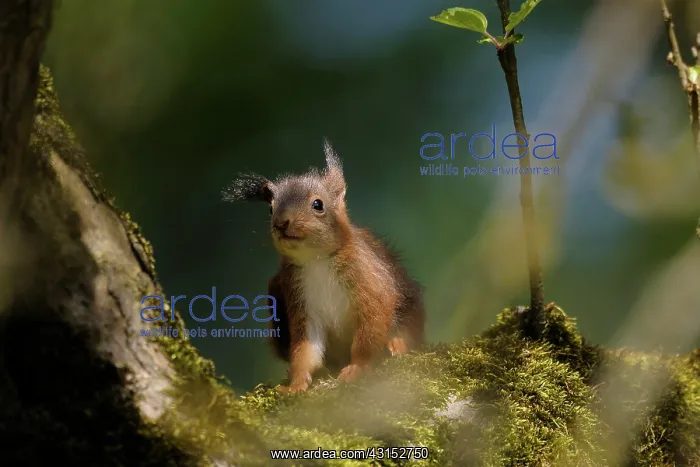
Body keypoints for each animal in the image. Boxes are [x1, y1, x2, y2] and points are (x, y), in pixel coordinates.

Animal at [223, 139, 425, 393]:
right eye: (270, 209)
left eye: (318, 204)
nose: (281, 223)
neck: (316, 261)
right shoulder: (299, 300)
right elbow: (305, 349)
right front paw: (296, 383)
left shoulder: (367, 280)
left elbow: (370, 326)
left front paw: (358, 368)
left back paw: (397, 343)